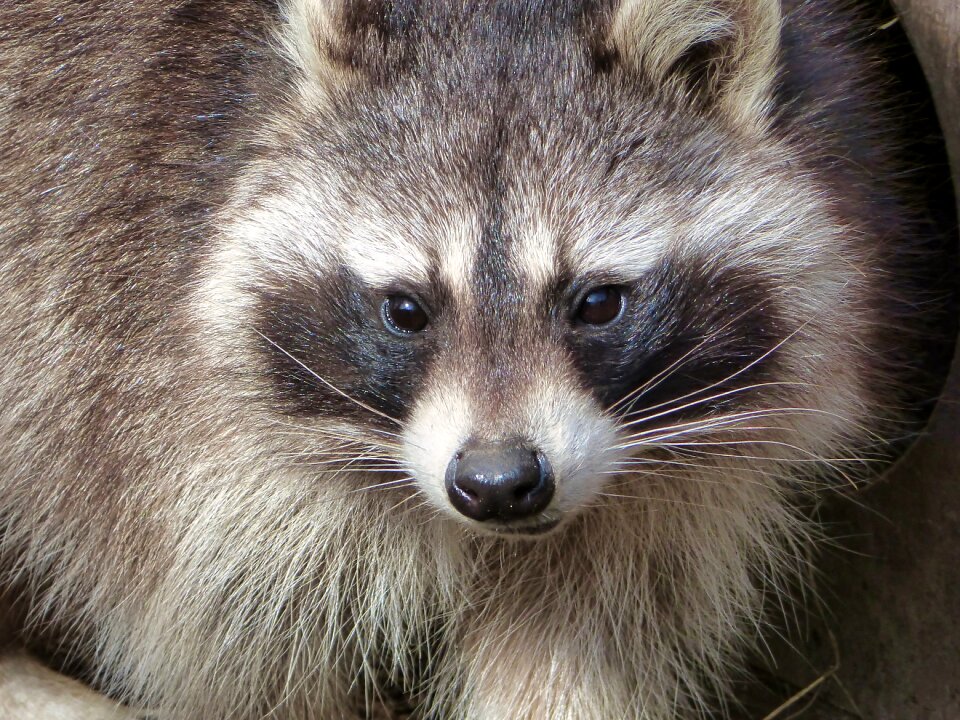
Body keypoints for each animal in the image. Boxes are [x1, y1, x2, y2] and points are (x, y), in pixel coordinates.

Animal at [0, 0, 952, 716]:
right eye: (406, 311)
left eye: (596, 303)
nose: (498, 483)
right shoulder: (142, 401)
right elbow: (235, 657)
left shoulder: (660, 511)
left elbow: (576, 652)